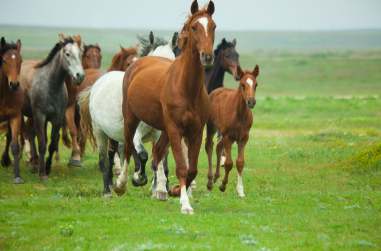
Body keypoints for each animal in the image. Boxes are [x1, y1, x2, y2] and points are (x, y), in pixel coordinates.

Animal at [20, 34, 84, 178]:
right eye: (67, 54)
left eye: (80, 54)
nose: (80, 76)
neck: (51, 85)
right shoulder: (40, 116)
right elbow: (42, 143)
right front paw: (42, 174)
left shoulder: (57, 119)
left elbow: (52, 144)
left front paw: (47, 168)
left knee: (31, 134)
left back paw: (35, 163)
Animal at [77, 30, 178, 198]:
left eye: (173, 62)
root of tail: (98, 84)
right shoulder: (136, 133)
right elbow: (142, 155)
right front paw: (138, 179)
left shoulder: (159, 134)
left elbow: (159, 160)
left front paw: (159, 189)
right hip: (100, 132)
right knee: (105, 160)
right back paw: (107, 191)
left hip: (113, 134)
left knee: (113, 154)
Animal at [116, 0, 215, 216]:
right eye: (194, 27)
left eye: (213, 26)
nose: (207, 56)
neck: (186, 87)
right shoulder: (175, 129)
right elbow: (181, 167)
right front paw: (185, 204)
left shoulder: (195, 131)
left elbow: (191, 169)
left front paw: (175, 191)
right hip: (131, 119)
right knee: (127, 147)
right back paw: (121, 184)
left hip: (163, 130)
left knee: (157, 152)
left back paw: (159, 189)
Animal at [205, 64, 258, 198]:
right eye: (242, 84)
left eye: (256, 84)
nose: (251, 102)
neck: (239, 114)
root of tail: (216, 91)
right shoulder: (228, 137)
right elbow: (229, 163)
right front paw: (223, 185)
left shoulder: (243, 138)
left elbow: (240, 162)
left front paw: (240, 190)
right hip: (211, 127)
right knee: (209, 146)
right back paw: (210, 182)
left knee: (218, 147)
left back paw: (216, 177)